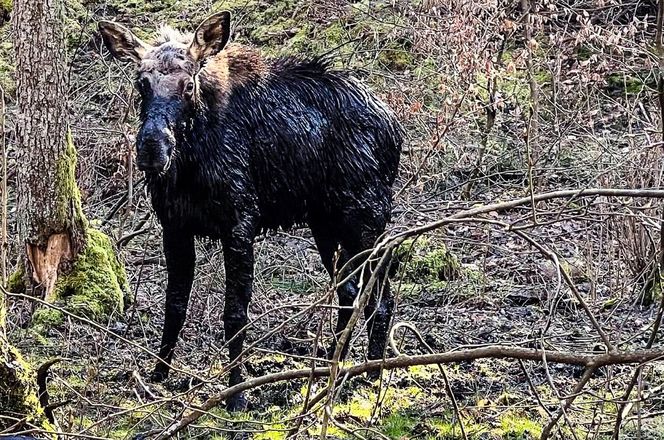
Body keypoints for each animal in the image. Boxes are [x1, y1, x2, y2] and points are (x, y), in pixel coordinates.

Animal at [96, 11, 402, 410]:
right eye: (141, 82)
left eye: (188, 85)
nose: (152, 148)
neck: (191, 164)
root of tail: (396, 129)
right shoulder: (174, 226)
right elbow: (174, 305)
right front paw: (159, 374)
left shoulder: (240, 224)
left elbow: (235, 314)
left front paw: (236, 393)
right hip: (326, 225)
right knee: (349, 292)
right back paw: (330, 366)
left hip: (365, 219)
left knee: (380, 299)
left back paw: (372, 373)